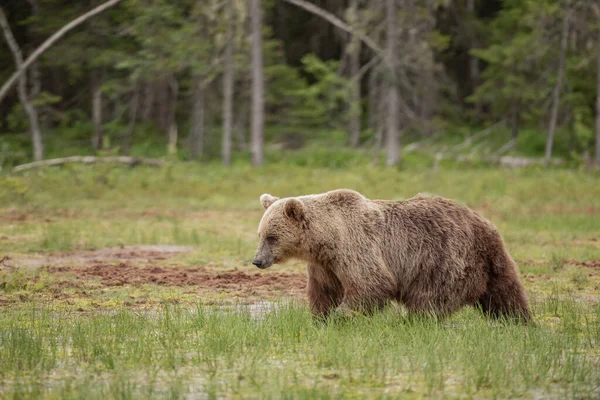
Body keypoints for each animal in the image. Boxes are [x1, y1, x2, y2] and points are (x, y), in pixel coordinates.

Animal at [252, 189, 528, 324]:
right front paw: (321, 318)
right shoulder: (325, 265)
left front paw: (343, 315)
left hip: (442, 259)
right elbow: (324, 291)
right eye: (260, 234)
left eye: (272, 237)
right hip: (493, 263)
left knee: (430, 298)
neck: (326, 238)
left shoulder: (355, 247)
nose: (258, 260)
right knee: (506, 294)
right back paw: (520, 321)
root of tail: (485, 224)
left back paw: (415, 322)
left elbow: (371, 283)